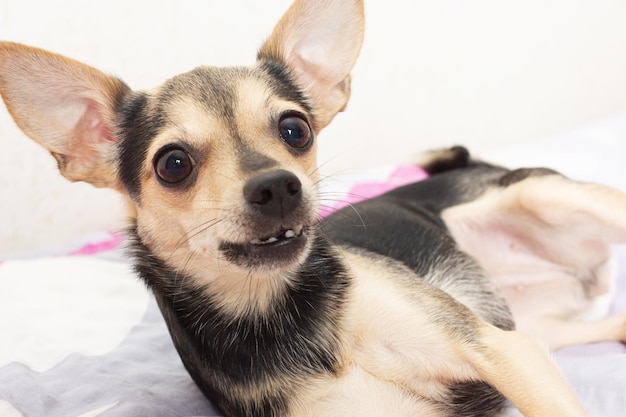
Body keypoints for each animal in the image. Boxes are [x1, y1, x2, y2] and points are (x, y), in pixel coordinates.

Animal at [1, 0, 624, 414]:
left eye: (295, 129)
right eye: (172, 164)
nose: (278, 186)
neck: (282, 317)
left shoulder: (502, 352)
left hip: (544, 202)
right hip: (542, 330)